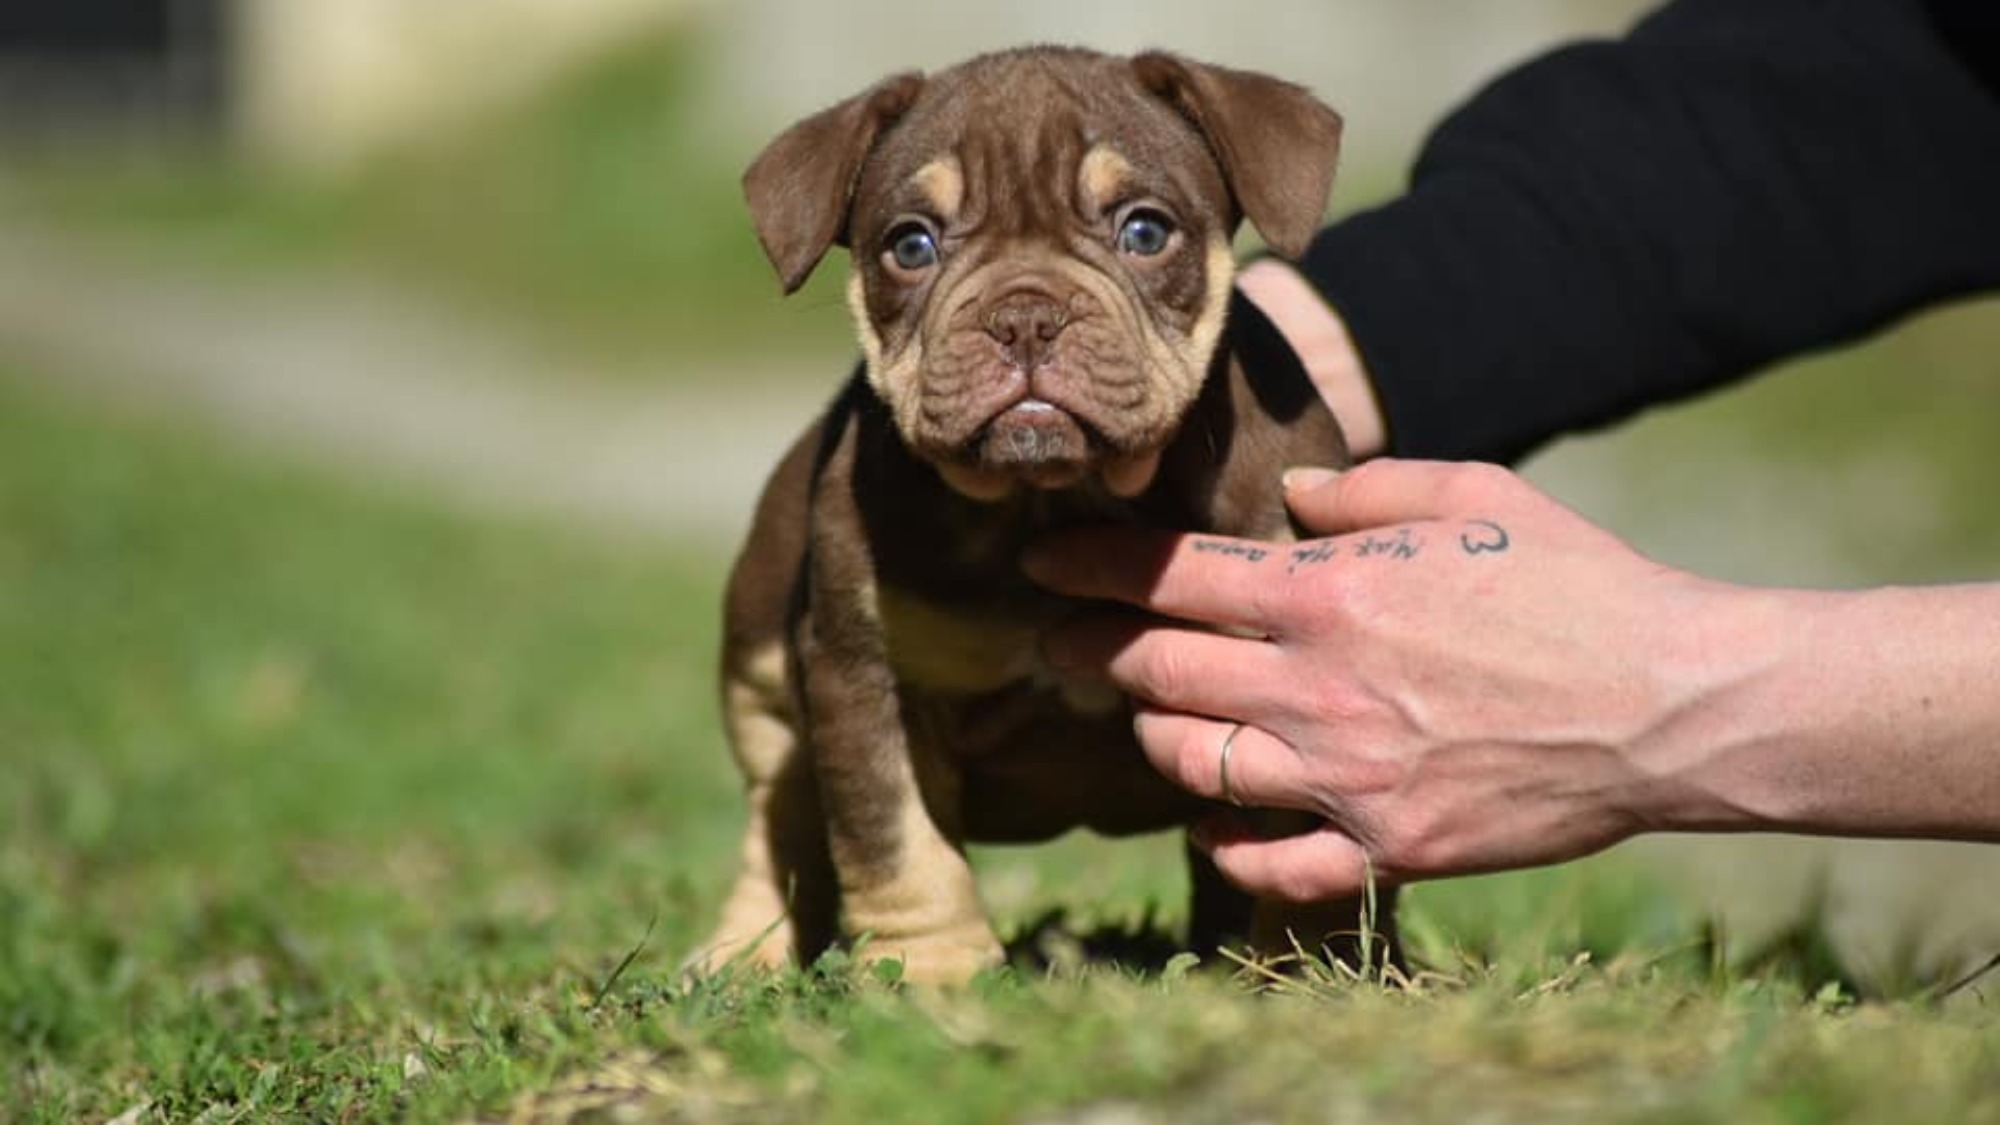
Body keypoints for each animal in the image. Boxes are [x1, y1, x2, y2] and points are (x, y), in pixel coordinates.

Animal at [696, 43, 1400, 976]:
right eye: (910, 245)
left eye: (1145, 231)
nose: (1026, 315)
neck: (1056, 496)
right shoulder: (860, 676)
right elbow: (897, 843)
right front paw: (936, 977)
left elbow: (1307, 840)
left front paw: (1314, 971)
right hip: (763, 687)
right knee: (779, 826)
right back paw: (743, 957)